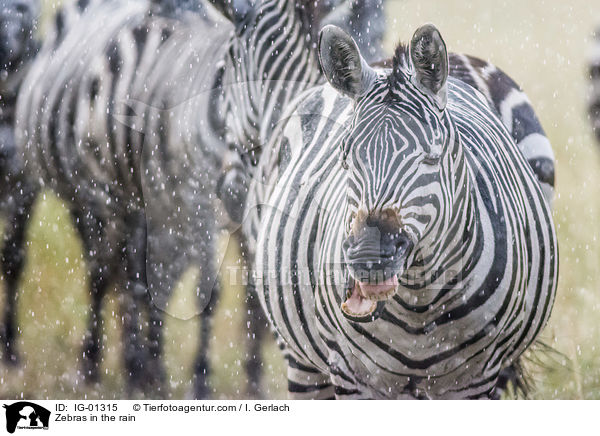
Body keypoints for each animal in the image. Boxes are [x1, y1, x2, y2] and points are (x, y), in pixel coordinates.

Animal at [244, 23, 556, 398]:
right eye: (345, 156)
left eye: (432, 157)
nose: (368, 257)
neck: (418, 306)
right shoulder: (352, 376)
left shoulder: (476, 378)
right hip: (301, 360)